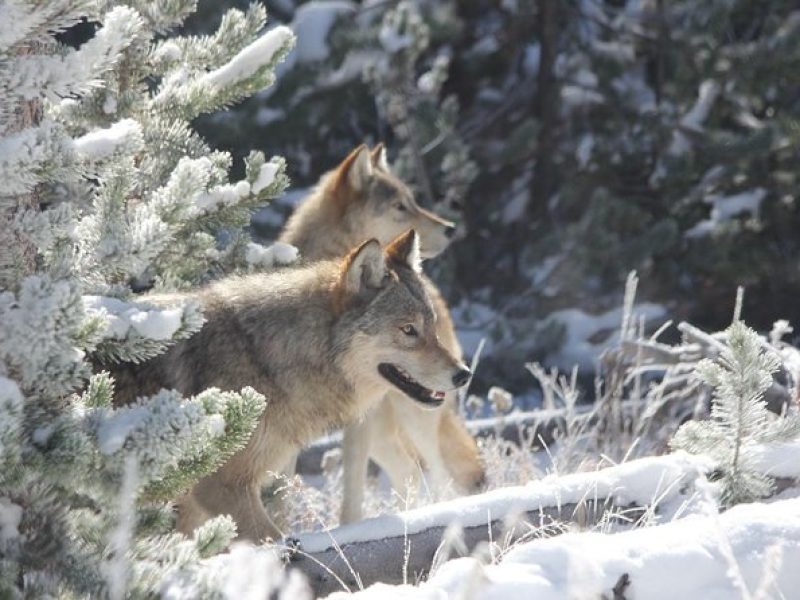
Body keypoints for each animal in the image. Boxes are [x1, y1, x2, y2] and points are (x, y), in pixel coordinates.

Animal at [111, 231, 468, 544]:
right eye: (408, 330)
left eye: (433, 328)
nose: (463, 375)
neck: (268, 358)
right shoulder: (221, 487)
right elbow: (278, 546)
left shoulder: (196, 501)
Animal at [278, 143, 484, 524]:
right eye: (400, 207)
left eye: (413, 201)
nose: (451, 228)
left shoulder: (359, 422)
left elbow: (352, 491)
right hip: (387, 434)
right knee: (411, 473)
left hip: (415, 417)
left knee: (438, 472)